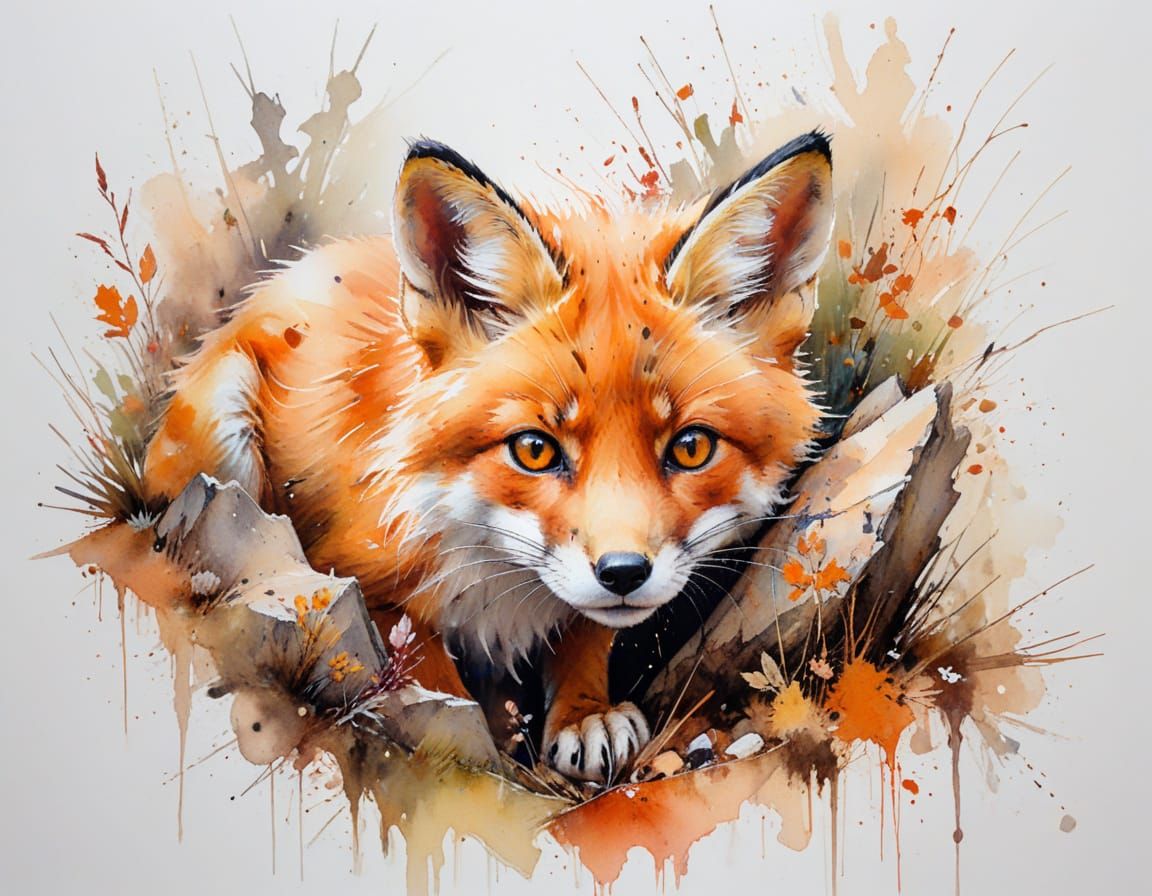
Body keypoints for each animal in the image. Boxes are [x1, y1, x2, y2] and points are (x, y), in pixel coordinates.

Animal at [139, 131, 834, 782]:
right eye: (534, 449)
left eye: (691, 448)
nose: (623, 573)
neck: (495, 574)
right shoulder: (361, 570)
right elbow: (423, 669)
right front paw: (471, 737)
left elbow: (584, 631)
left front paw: (585, 713)